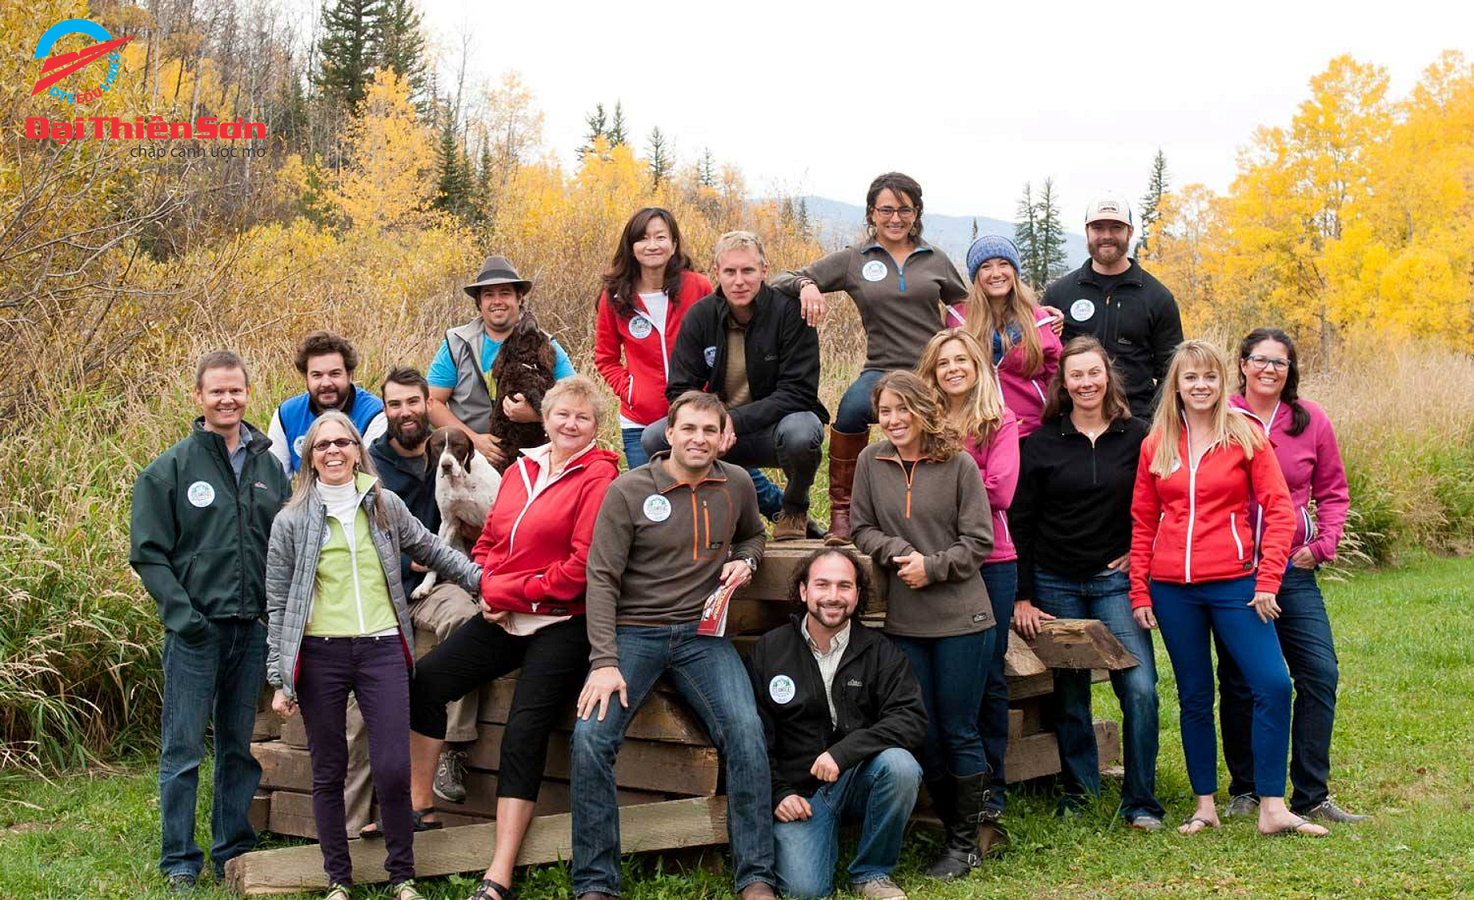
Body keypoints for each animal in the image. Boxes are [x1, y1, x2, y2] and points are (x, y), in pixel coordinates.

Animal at [412, 427, 504, 600]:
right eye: (438, 445)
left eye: (458, 445)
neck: (460, 480)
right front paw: (425, 585)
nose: (446, 465)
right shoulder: (449, 522)